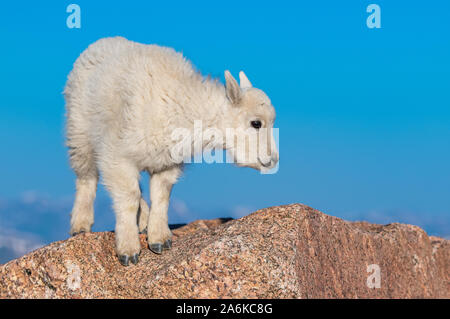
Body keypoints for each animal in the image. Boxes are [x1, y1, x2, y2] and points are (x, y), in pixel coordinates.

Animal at [63, 37, 278, 268]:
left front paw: (159, 240)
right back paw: (80, 224)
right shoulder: (116, 154)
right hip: (79, 131)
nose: (273, 159)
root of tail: (98, 43)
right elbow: (128, 197)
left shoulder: (166, 161)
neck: (182, 110)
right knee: (86, 177)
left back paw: (143, 220)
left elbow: (161, 195)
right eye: (256, 123)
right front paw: (128, 251)